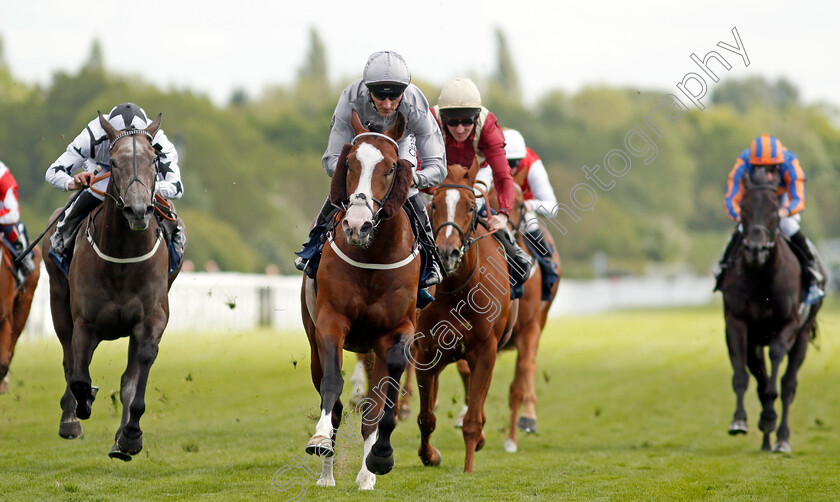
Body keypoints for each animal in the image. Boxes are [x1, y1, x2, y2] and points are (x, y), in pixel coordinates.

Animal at [42, 112, 184, 460]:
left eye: (154, 160)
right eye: (115, 162)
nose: (138, 210)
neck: (122, 258)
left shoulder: (152, 318)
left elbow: (136, 373)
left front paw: (130, 435)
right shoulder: (85, 322)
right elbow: (79, 375)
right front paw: (83, 405)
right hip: (57, 300)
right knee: (68, 359)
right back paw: (70, 419)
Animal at [302, 111, 420, 490]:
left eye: (392, 166)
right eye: (350, 162)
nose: (357, 224)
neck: (373, 255)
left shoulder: (398, 329)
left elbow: (383, 399)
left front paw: (379, 458)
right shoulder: (331, 321)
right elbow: (332, 384)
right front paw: (320, 439)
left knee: (373, 404)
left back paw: (367, 474)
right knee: (335, 399)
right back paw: (327, 475)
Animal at [414, 163, 520, 472]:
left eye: (472, 206)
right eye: (434, 205)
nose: (446, 252)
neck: (457, 291)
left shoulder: (485, 351)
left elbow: (473, 419)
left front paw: (468, 468)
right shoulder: (425, 353)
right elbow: (426, 417)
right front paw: (429, 455)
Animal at [720, 164, 824, 452]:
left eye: (773, 212)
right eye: (743, 209)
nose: (755, 249)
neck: (762, 277)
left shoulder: (788, 324)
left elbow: (777, 368)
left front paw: (769, 418)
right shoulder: (736, 323)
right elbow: (742, 375)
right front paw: (739, 421)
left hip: (803, 334)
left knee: (789, 384)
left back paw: (781, 439)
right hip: (756, 341)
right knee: (761, 377)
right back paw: (767, 440)